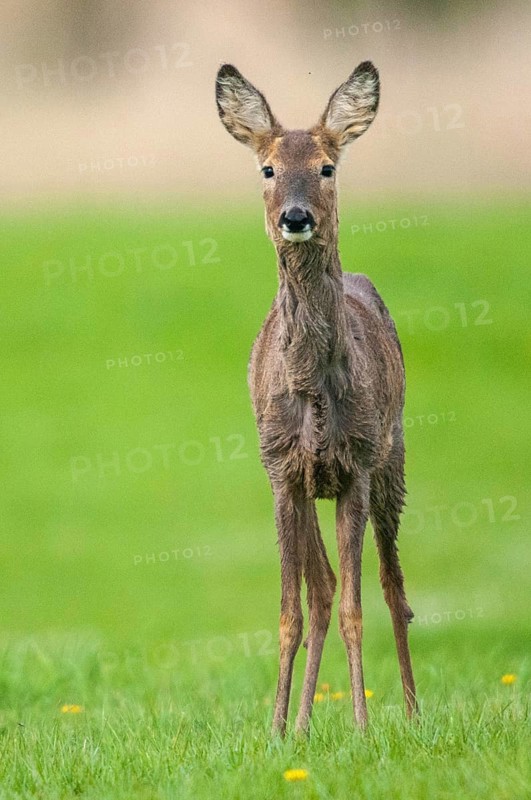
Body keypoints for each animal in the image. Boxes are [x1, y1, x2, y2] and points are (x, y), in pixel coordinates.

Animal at [215, 61, 418, 736]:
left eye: (328, 166)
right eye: (267, 168)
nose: (297, 216)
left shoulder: (355, 464)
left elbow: (359, 606)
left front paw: (361, 726)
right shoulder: (281, 469)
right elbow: (292, 610)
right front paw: (277, 730)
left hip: (393, 460)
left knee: (393, 589)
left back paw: (412, 715)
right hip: (311, 486)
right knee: (323, 588)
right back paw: (304, 725)